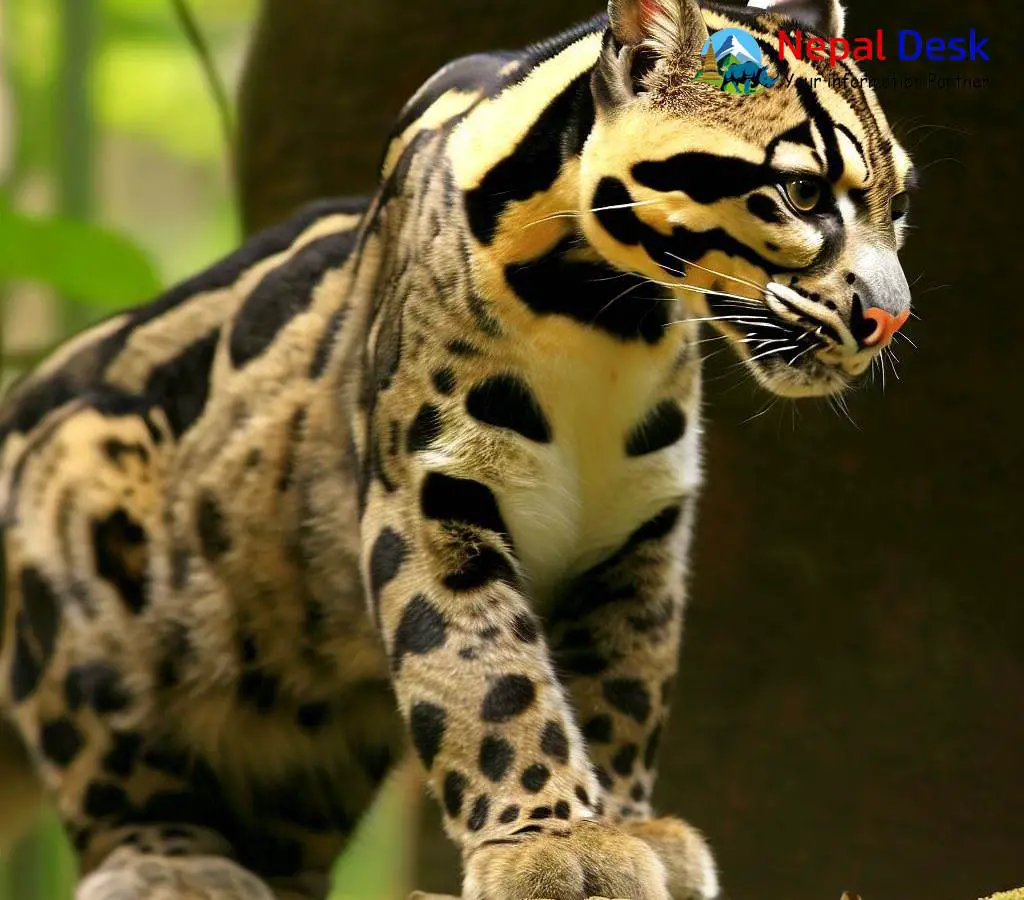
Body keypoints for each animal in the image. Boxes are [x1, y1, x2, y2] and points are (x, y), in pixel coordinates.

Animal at [0, 0, 916, 897]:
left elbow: (625, 682)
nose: (890, 316)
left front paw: (624, 824)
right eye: (802, 192)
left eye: (898, 206)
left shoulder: (639, 530)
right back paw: (171, 862)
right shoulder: (432, 488)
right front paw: (551, 842)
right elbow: (487, 673)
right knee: (114, 772)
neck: (608, 319)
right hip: (84, 526)